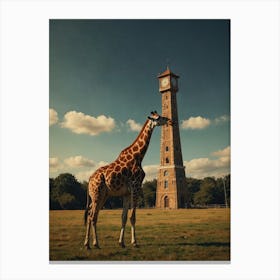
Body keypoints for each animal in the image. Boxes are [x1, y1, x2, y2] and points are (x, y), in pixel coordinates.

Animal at [83, 110, 172, 248]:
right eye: (159, 117)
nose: (170, 121)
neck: (138, 157)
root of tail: (89, 179)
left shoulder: (126, 193)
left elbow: (124, 217)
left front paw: (122, 242)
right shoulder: (135, 187)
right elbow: (133, 217)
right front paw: (134, 242)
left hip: (101, 195)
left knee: (90, 214)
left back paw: (88, 243)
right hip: (97, 193)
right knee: (93, 215)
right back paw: (94, 243)